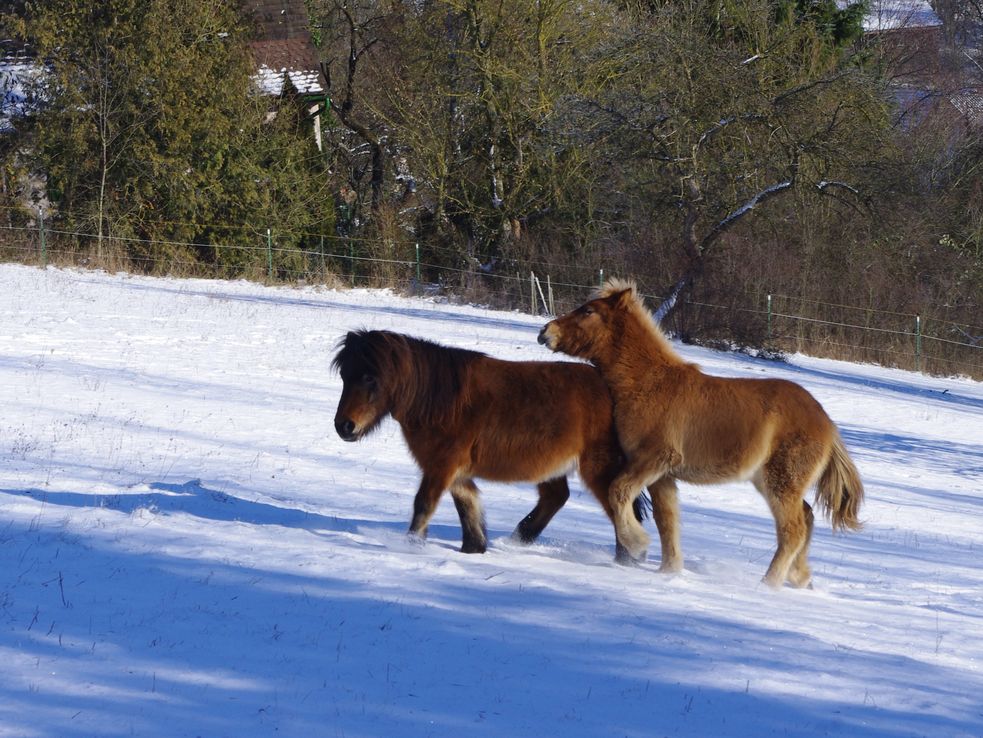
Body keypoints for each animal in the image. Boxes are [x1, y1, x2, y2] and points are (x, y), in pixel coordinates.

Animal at [332, 330, 652, 556]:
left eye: (370, 377)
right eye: (345, 375)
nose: (344, 426)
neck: (439, 401)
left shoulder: (441, 466)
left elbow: (424, 505)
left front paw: (410, 545)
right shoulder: (455, 471)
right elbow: (469, 507)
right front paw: (474, 548)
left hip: (598, 468)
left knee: (620, 511)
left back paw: (627, 558)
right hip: (552, 468)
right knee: (556, 498)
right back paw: (519, 539)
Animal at [540, 278, 864, 588]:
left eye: (588, 311)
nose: (545, 332)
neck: (648, 383)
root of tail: (827, 423)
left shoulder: (653, 459)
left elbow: (618, 492)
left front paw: (636, 544)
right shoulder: (662, 476)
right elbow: (667, 520)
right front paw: (668, 570)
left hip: (781, 482)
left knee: (793, 529)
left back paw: (769, 584)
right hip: (772, 481)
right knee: (806, 518)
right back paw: (800, 578)